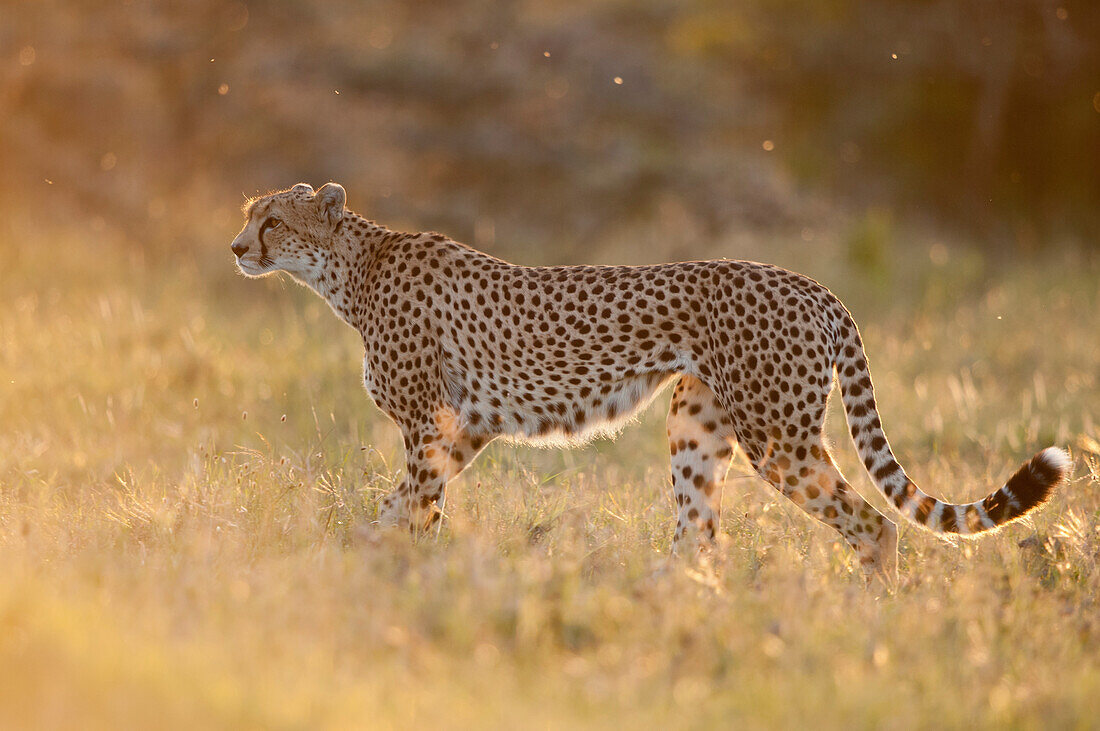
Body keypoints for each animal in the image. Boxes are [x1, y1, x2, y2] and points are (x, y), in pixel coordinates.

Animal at [227, 181, 1069, 576]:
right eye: (251, 216)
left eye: (272, 221)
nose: (236, 247)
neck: (351, 268)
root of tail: (812, 284)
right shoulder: (464, 427)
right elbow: (396, 506)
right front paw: (358, 554)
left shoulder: (429, 424)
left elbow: (415, 509)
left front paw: (403, 576)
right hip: (697, 428)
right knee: (701, 537)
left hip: (779, 439)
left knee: (873, 524)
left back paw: (870, 623)